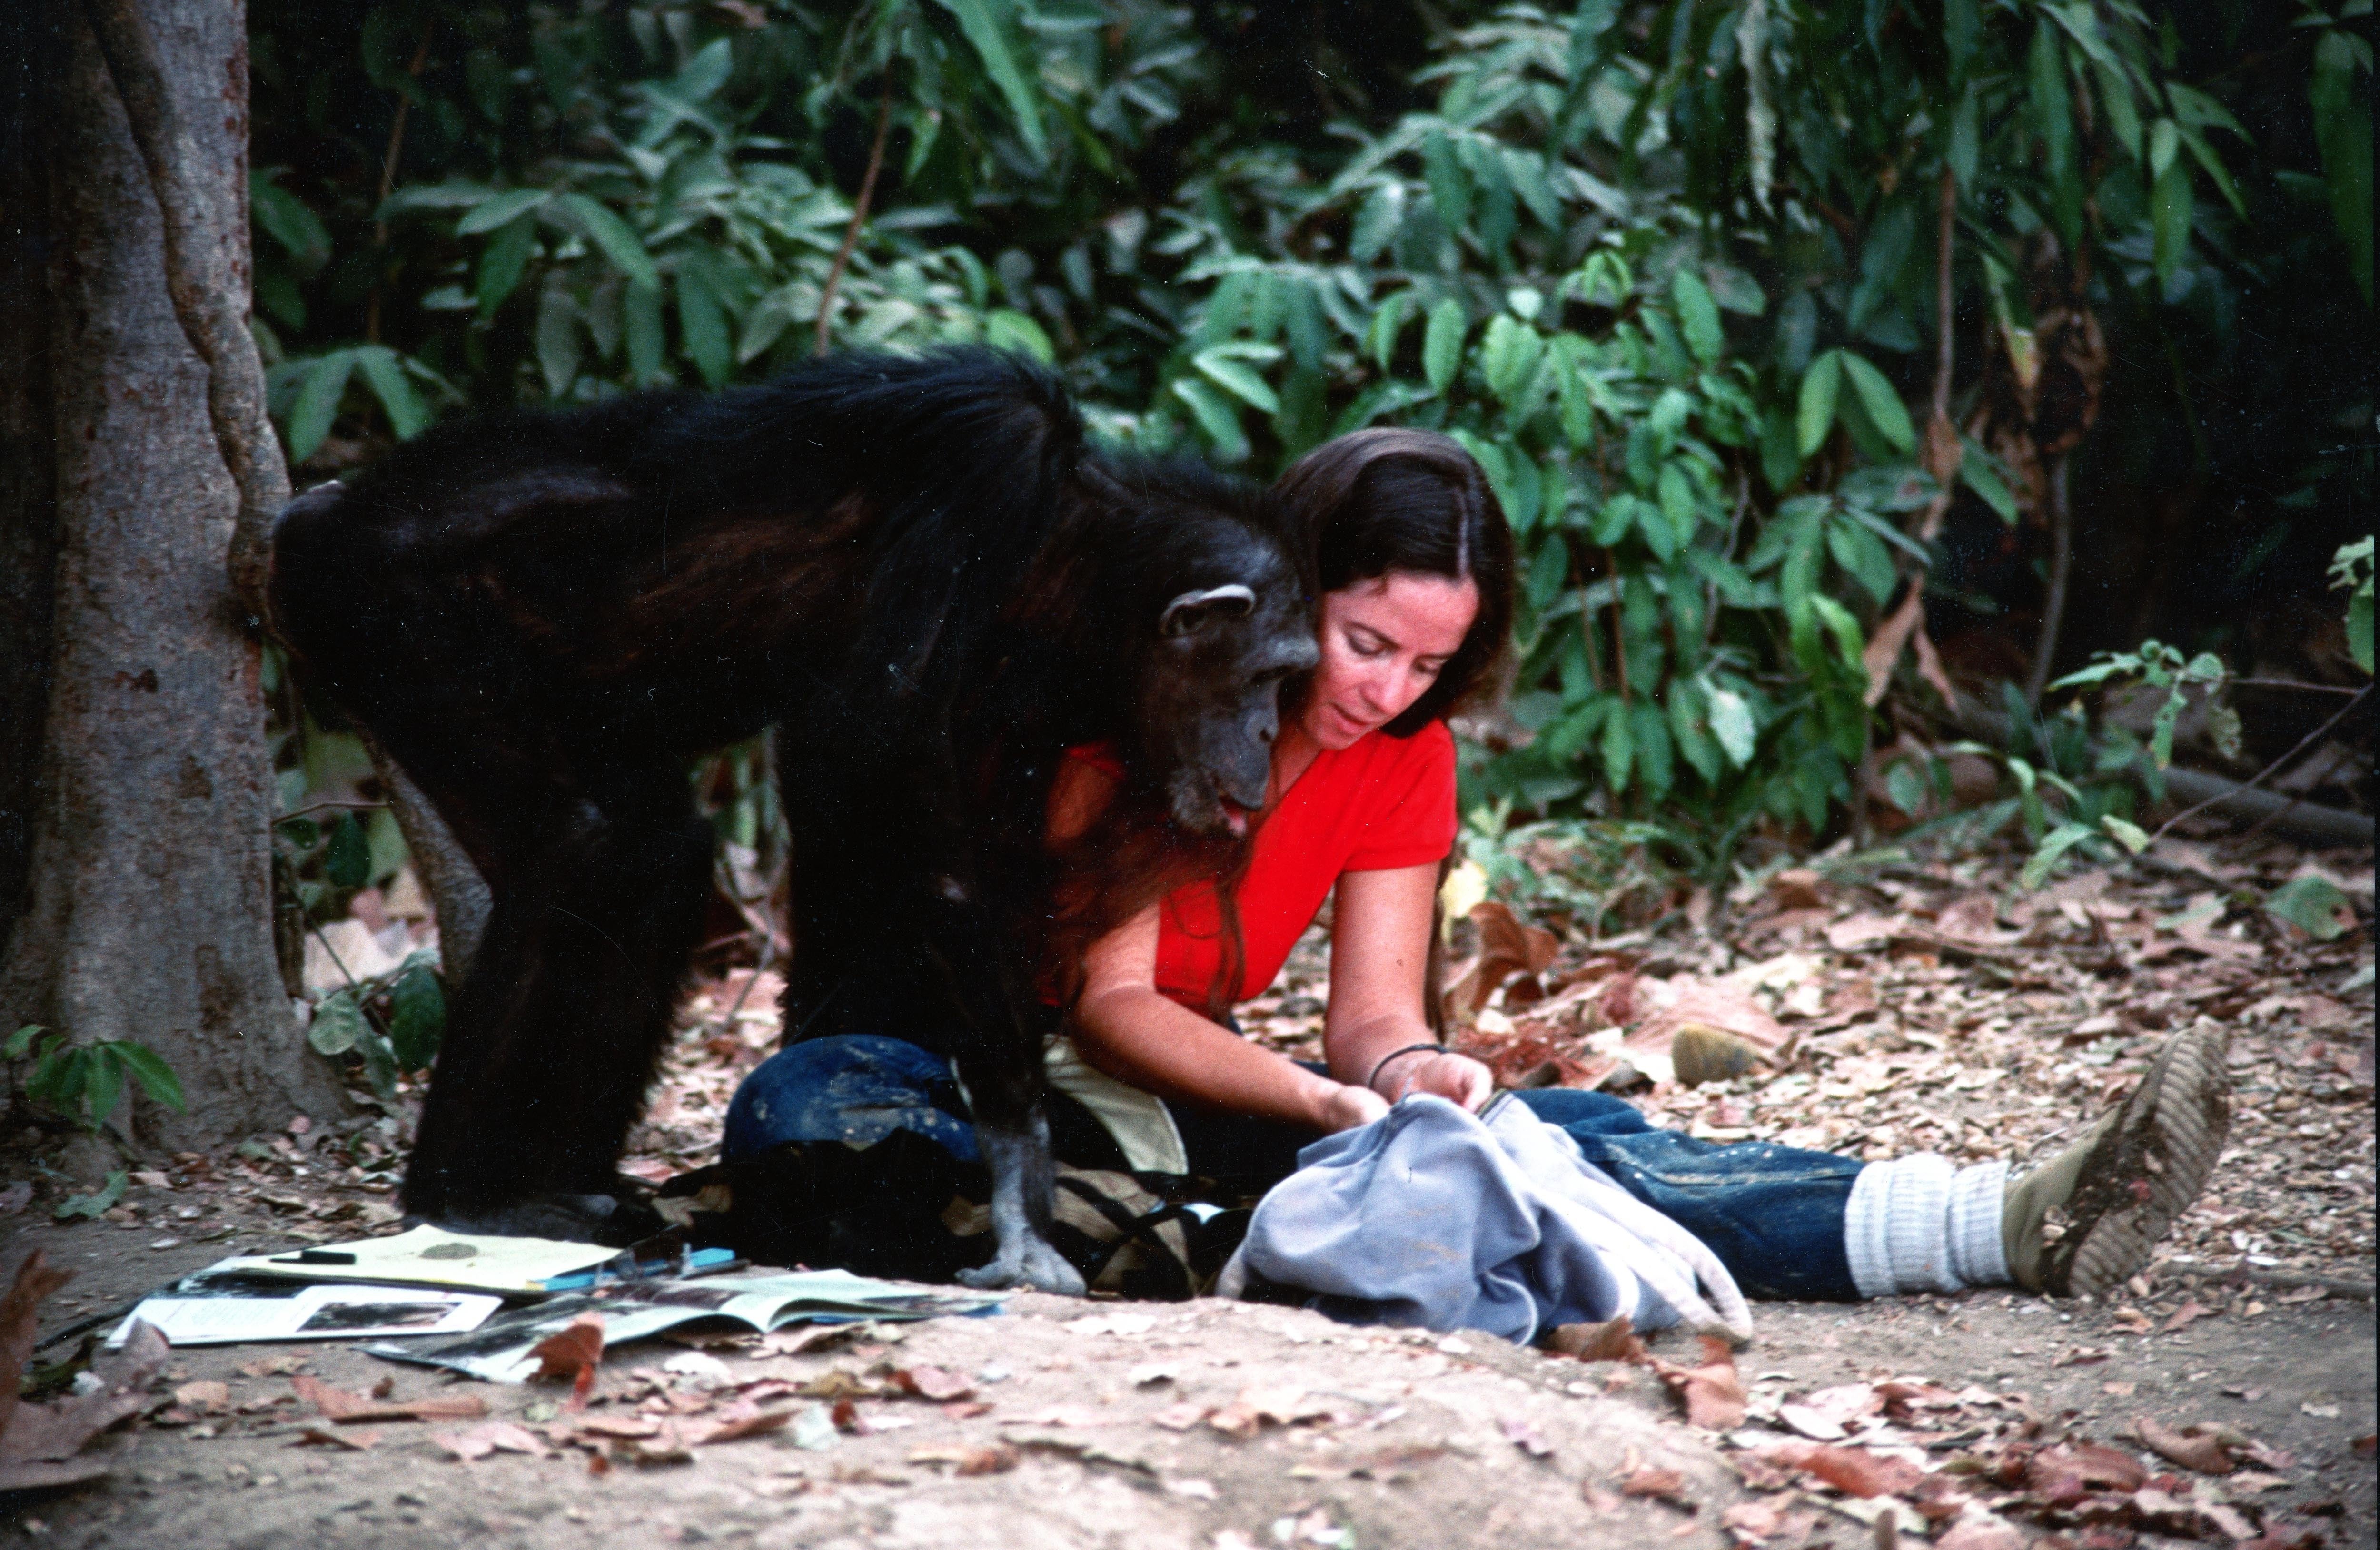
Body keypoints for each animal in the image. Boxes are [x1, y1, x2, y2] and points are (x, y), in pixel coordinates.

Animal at [281, 345, 1333, 1295]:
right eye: (1273, 674)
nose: (1269, 729)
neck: (1072, 557)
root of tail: (319, 513)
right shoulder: (984, 467)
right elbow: (865, 751)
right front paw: (1016, 1167)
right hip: (402, 622)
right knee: (593, 845)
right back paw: (464, 1198)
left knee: (656, 859)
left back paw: (578, 1190)